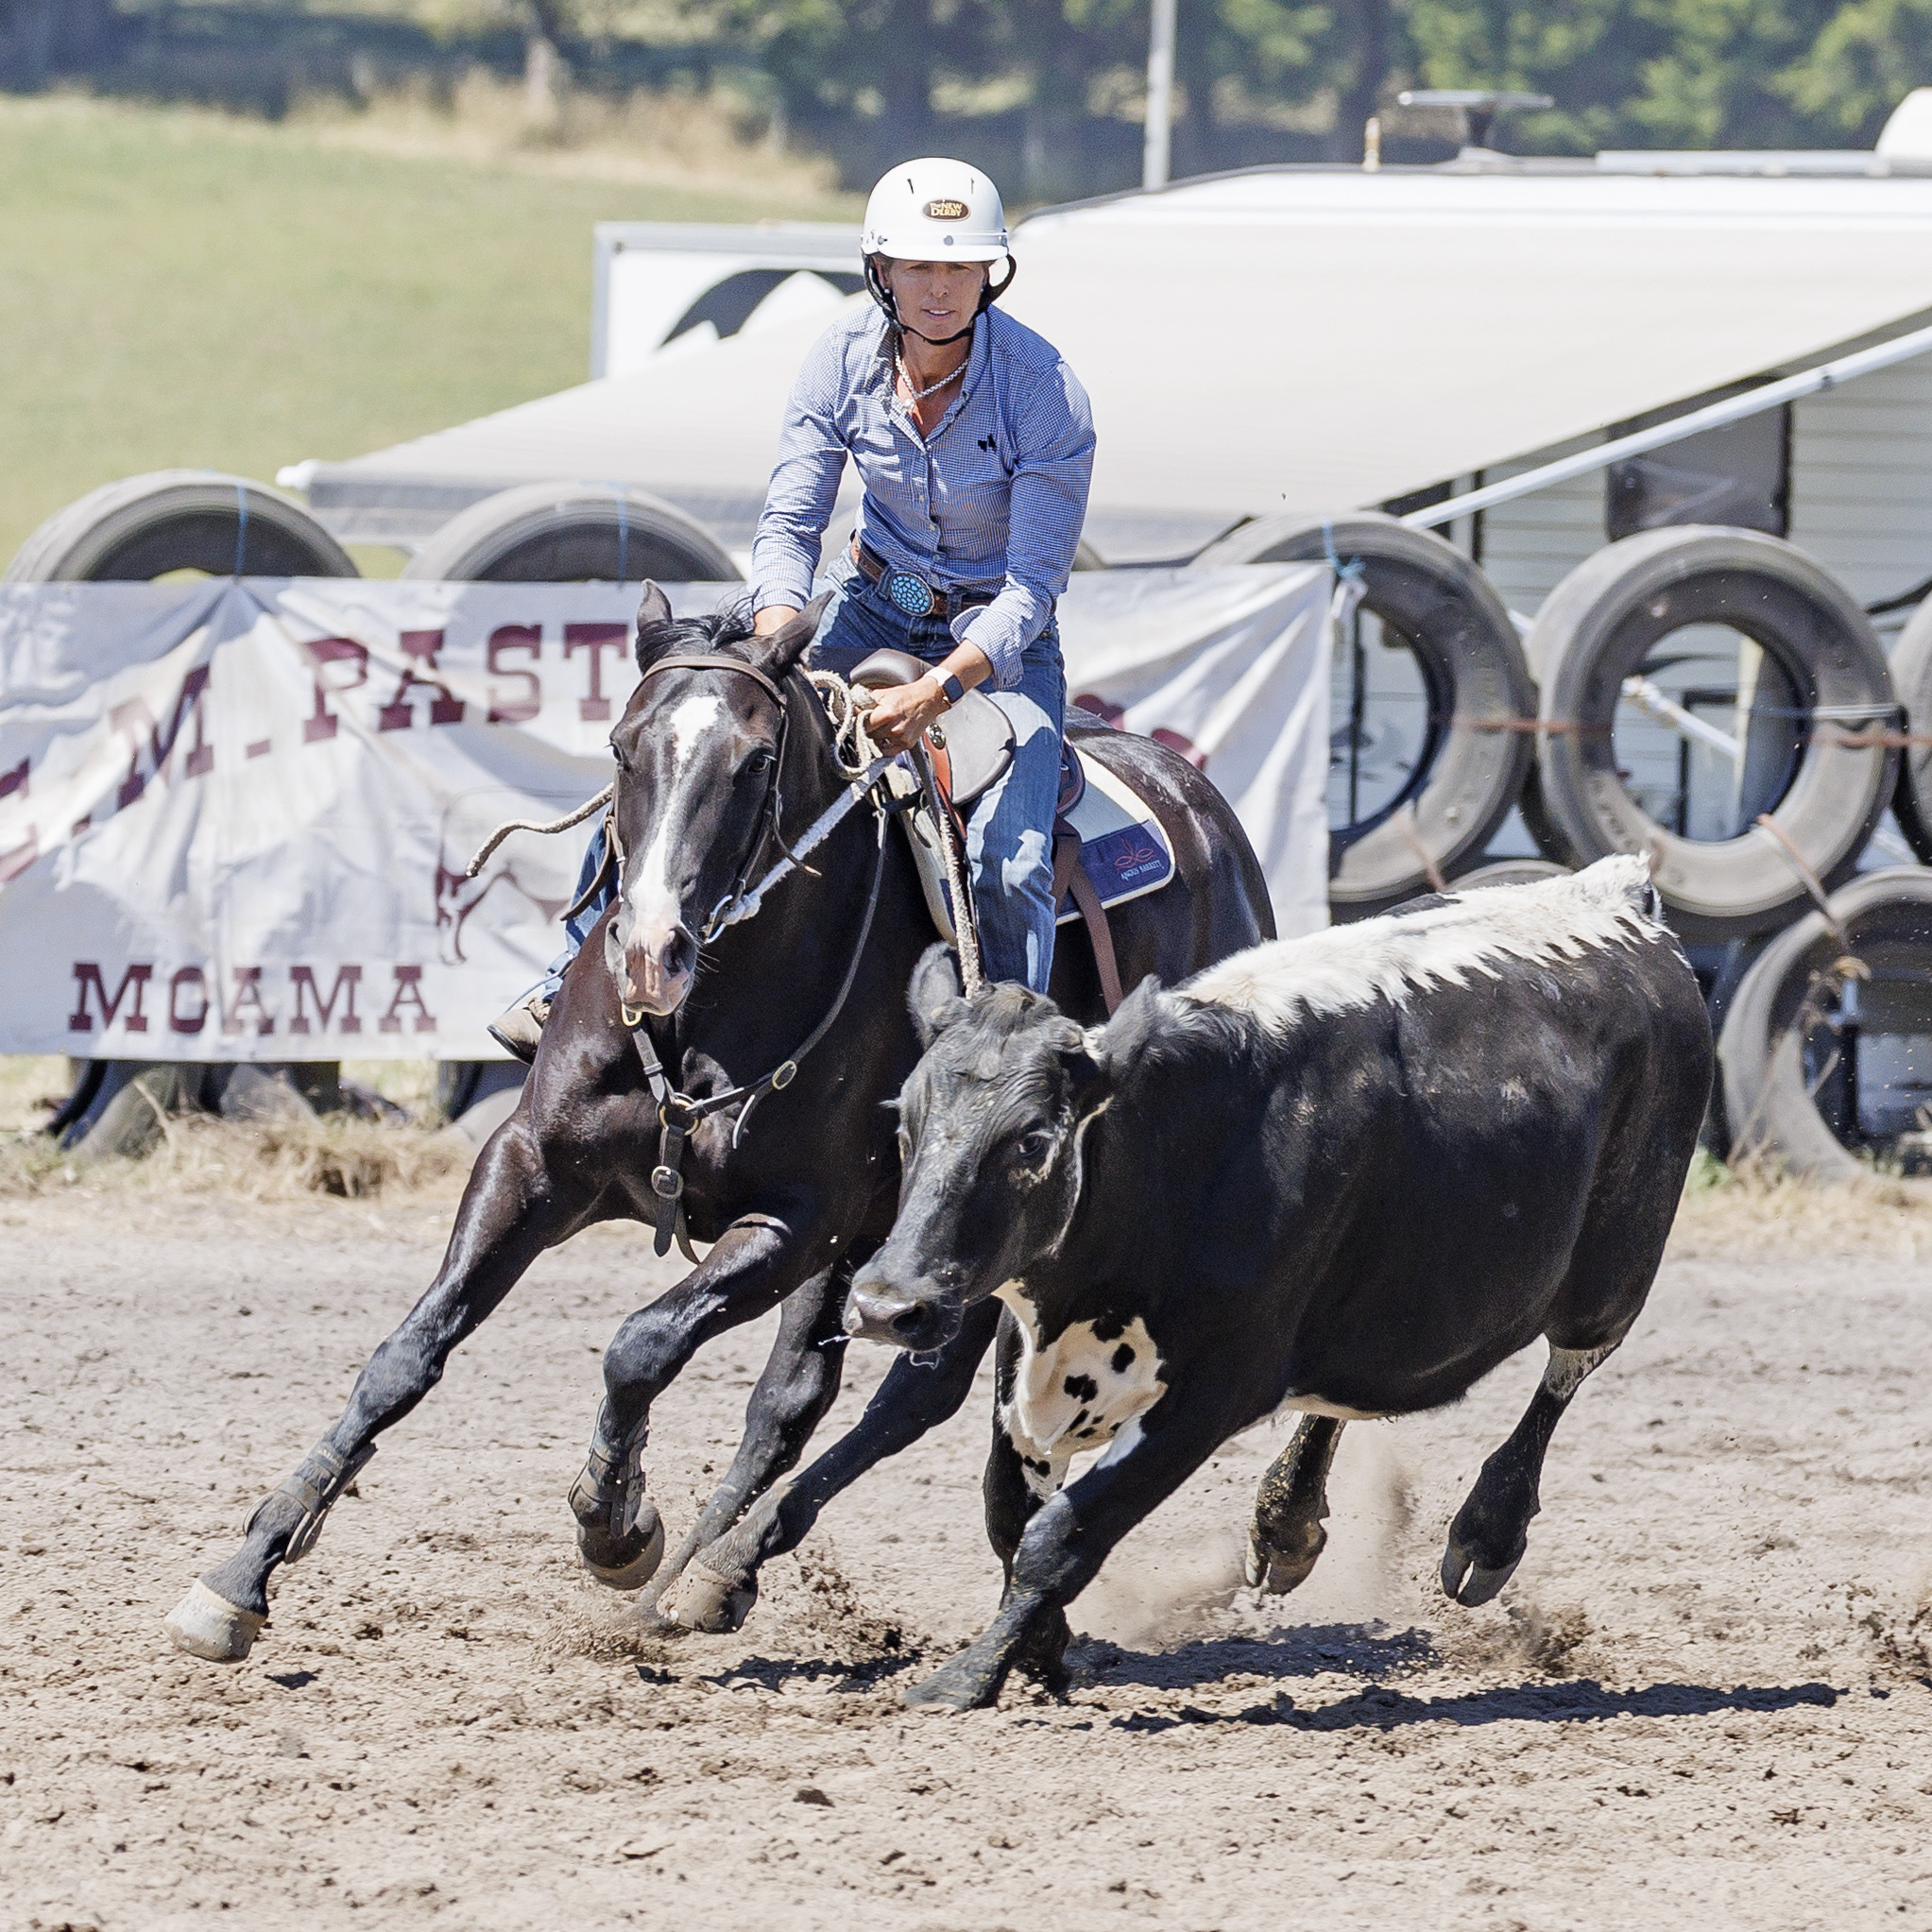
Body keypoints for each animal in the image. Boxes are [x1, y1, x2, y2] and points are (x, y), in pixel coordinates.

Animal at [164, 586, 1275, 1664]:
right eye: (622, 746)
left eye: (753, 762)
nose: (648, 951)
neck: (707, 1008)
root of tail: (1202, 811)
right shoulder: (530, 1164)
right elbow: (407, 1353)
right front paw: (242, 1572)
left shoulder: (799, 1223)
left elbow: (641, 1343)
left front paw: (615, 1525)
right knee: (806, 1396)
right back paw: (703, 1577)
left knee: (897, 1392)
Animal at [842, 856, 1713, 1710]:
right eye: (904, 1122)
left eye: (1030, 1141)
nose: (887, 1304)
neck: (1180, 1147)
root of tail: (1619, 895)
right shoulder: (1021, 1350)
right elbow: (1007, 1511)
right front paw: (1043, 1650)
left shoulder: (1214, 1389)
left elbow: (1059, 1535)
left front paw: (965, 1678)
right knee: (1343, 1388)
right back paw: (1285, 1523)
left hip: (1615, 1266)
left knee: (1564, 1372)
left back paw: (1484, 1534)